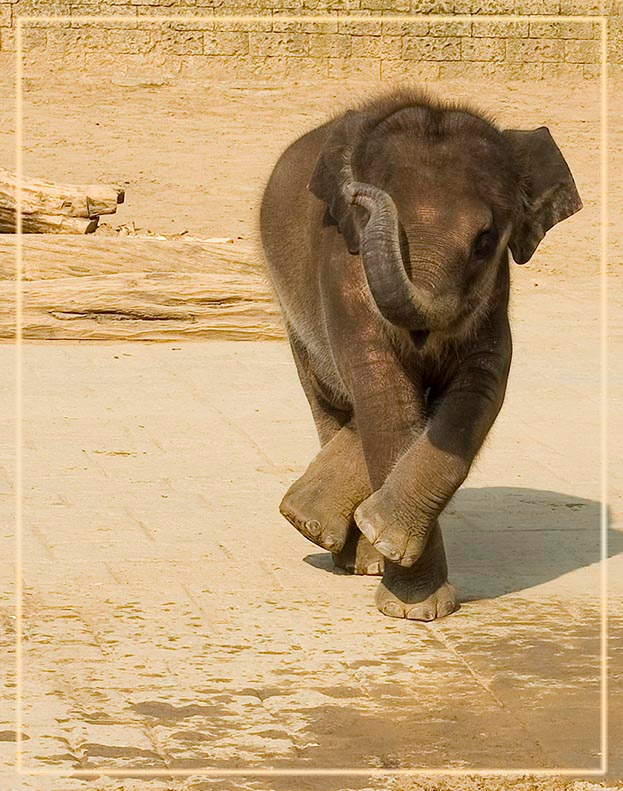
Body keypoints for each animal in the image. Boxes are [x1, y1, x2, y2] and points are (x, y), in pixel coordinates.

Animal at [259, 88, 582, 621]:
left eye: (484, 241)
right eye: (367, 217)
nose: (359, 192)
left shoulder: (495, 298)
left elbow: (479, 387)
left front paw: (388, 542)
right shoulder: (343, 274)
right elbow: (386, 393)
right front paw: (412, 602)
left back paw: (333, 535)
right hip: (292, 316)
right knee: (328, 399)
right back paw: (333, 544)